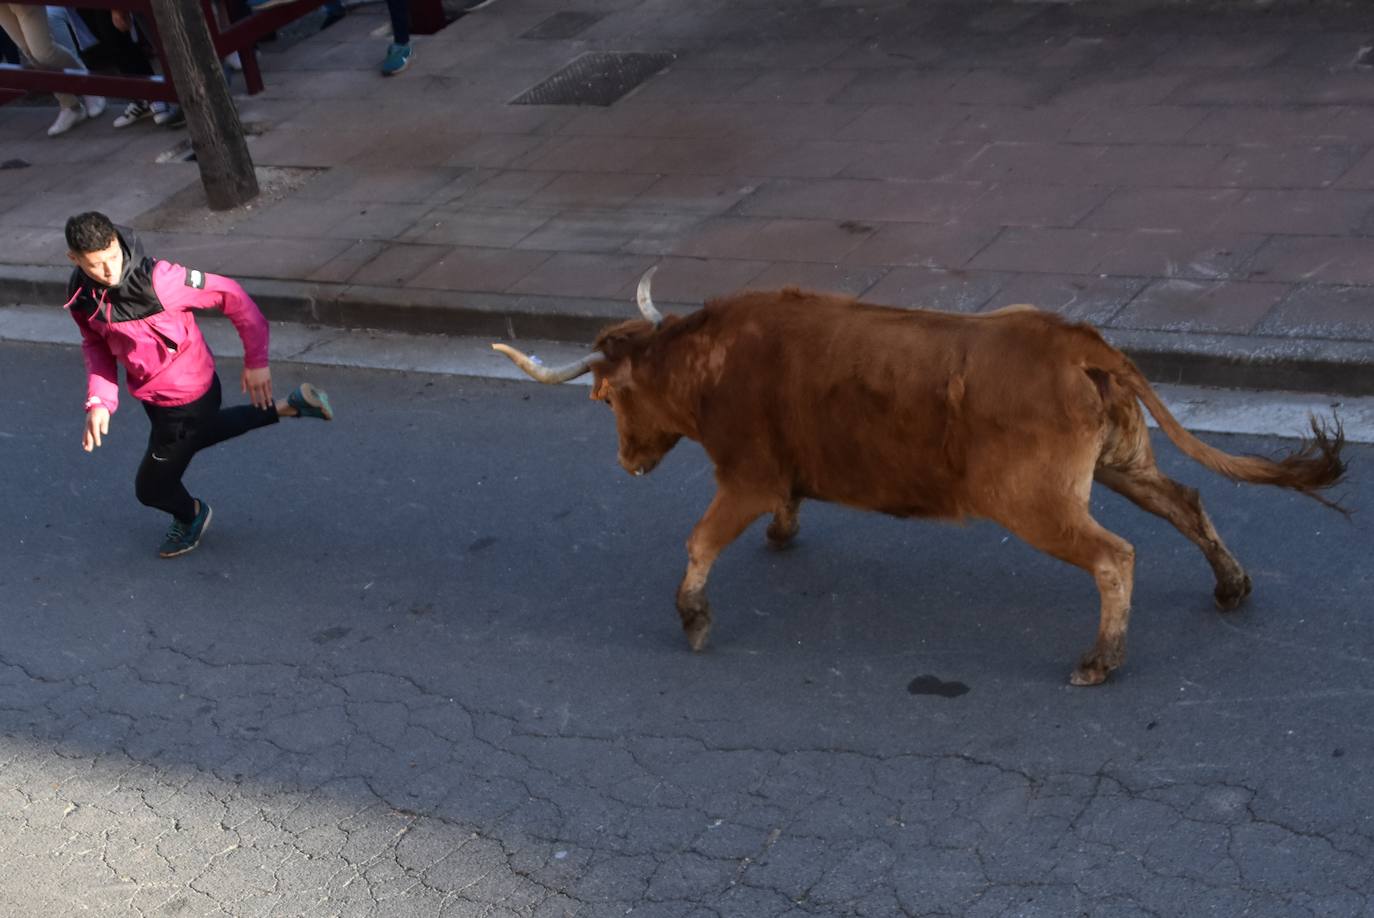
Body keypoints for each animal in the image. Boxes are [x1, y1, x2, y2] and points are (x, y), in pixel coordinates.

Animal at [491, 269, 1341, 684]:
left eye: (606, 398)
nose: (627, 461)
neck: (712, 362)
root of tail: (1077, 343)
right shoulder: (772, 476)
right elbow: (780, 510)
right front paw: (784, 533)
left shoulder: (745, 476)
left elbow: (700, 542)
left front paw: (693, 616)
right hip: (1122, 462)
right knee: (1186, 503)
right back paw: (1230, 587)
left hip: (1036, 503)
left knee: (1114, 556)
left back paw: (1100, 661)